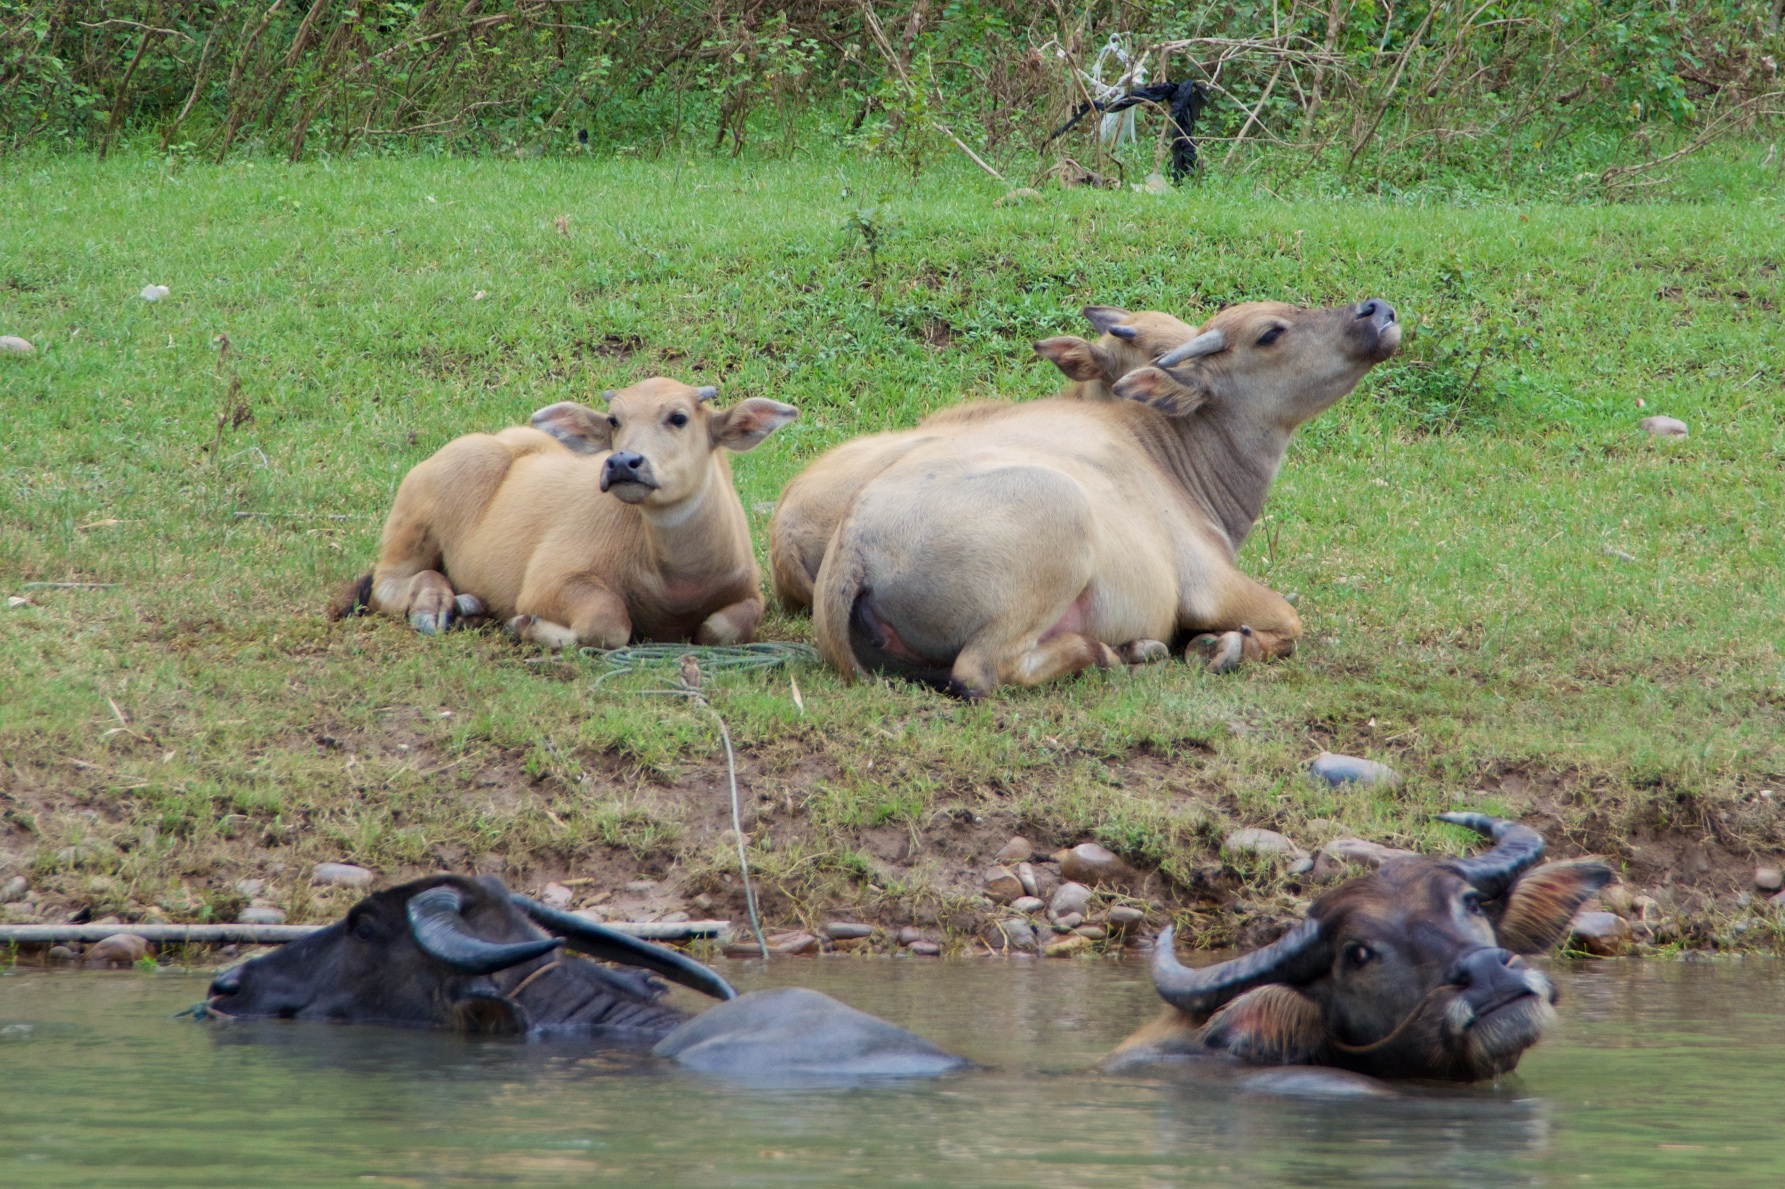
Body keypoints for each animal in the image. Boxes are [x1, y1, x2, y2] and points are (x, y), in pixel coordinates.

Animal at [330, 374, 803, 642]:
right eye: (614, 420)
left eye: (679, 417)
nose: (622, 462)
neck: (675, 578)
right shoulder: (549, 583)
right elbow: (608, 624)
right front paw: (524, 626)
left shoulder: (749, 595)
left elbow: (720, 630)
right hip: (416, 519)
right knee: (387, 584)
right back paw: (435, 606)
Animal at [803, 296, 1399, 699]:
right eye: (1271, 333)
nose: (1378, 311)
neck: (1170, 455)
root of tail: (853, 546)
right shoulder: (1211, 585)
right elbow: (1289, 622)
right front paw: (1222, 647)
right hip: (1057, 526)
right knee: (981, 671)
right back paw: (1113, 653)